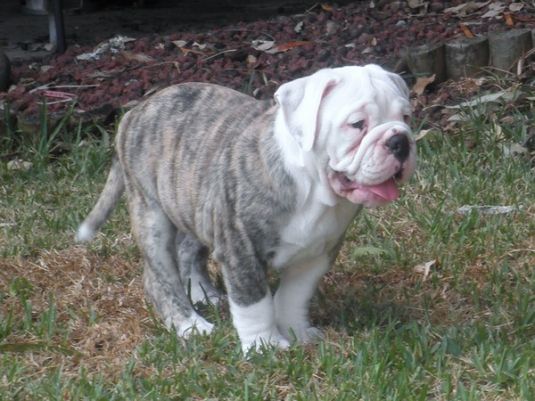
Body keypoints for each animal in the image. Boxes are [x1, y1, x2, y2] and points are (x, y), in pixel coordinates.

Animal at [77, 63, 416, 354]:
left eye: (406, 116)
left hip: (194, 202)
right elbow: (254, 303)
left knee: (189, 250)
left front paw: (296, 332)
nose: (401, 141)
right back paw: (190, 325)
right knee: (159, 276)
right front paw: (265, 345)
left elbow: (294, 296)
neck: (312, 186)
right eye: (357, 124)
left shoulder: (317, 254)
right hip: (152, 215)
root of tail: (135, 112)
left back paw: (203, 293)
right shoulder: (240, 249)